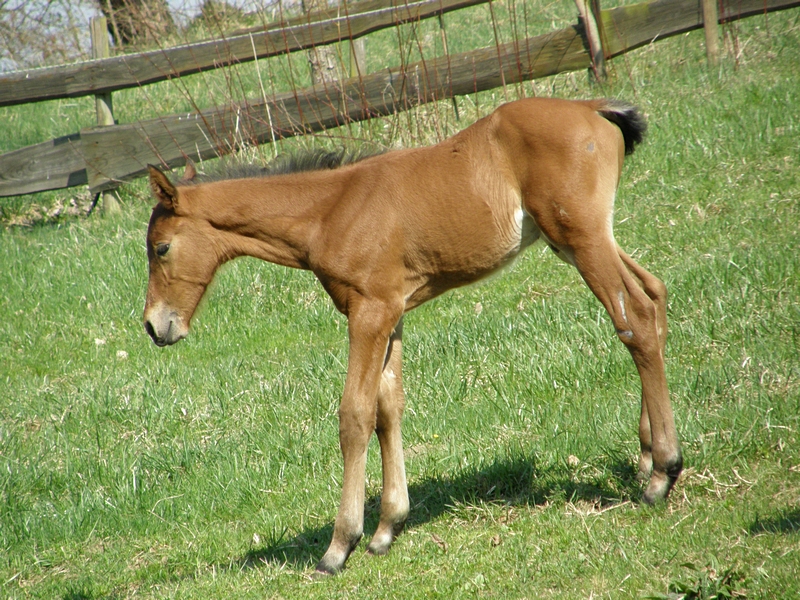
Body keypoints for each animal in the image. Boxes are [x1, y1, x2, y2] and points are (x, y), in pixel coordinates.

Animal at [142, 96, 680, 576]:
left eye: (161, 248)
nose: (153, 325)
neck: (330, 211)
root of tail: (593, 107)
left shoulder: (369, 312)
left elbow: (355, 414)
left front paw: (340, 546)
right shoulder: (393, 312)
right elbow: (389, 406)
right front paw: (387, 528)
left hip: (582, 239)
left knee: (634, 319)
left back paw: (663, 472)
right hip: (577, 242)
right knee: (653, 296)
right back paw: (646, 456)